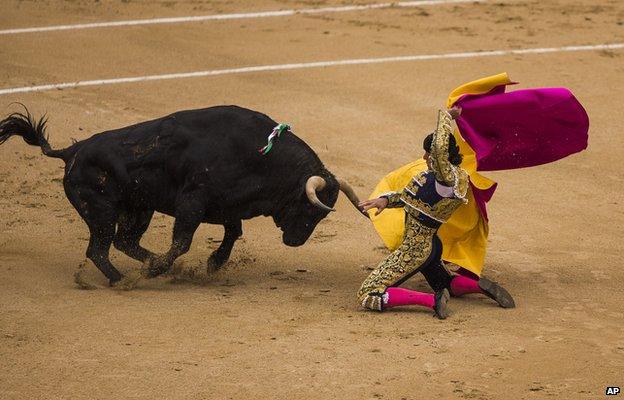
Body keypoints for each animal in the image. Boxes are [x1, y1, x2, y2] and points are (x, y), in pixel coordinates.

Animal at [0, 104, 364, 282]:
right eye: (310, 208)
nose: (295, 242)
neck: (261, 156)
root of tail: (70, 152)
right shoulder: (192, 202)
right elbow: (183, 240)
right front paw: (161, 268)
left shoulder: (228, 206)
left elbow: (233, 233)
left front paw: (213, 263)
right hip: (101, 211)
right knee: (99, 249)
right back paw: (125, 279)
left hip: (138, 208)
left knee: (123, 241)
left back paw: (148, 267)